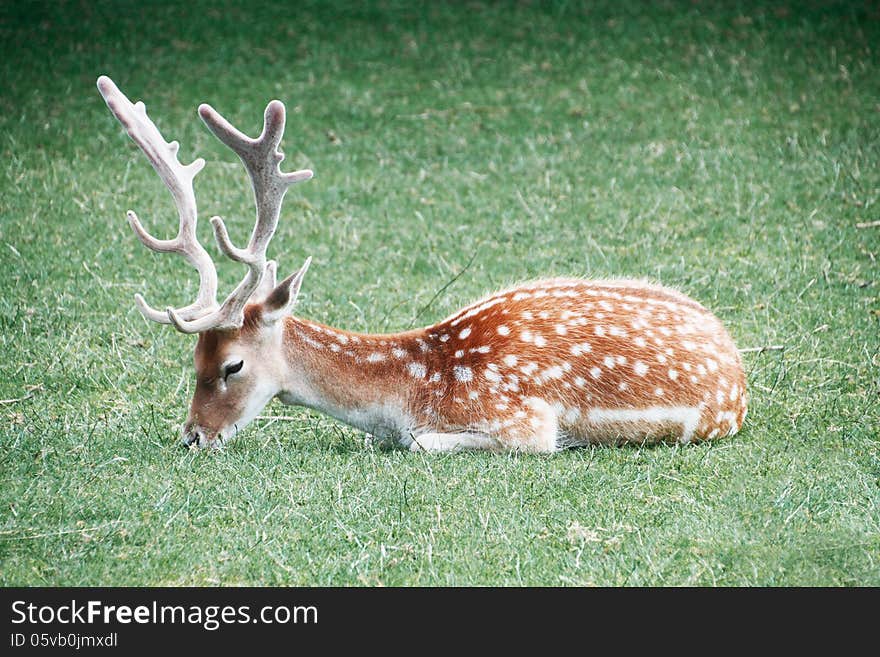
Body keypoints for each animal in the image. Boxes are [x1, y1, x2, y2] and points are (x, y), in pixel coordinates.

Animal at [98, 75, 748, 452]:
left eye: (232, 364)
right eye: (193, 360)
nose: (193, 436)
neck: (413, 388)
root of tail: (740, 371)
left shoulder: (521, 421)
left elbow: (420, 444)